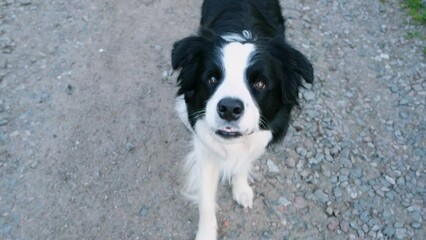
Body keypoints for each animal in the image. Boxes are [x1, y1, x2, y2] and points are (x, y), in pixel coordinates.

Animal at [172, 0, 312, 238]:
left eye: (260, 84)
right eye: (212, 79)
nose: (229, 108)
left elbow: (243, 162)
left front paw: (241, 189)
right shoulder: (205, 147)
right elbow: (206, 199)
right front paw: (206, 233)